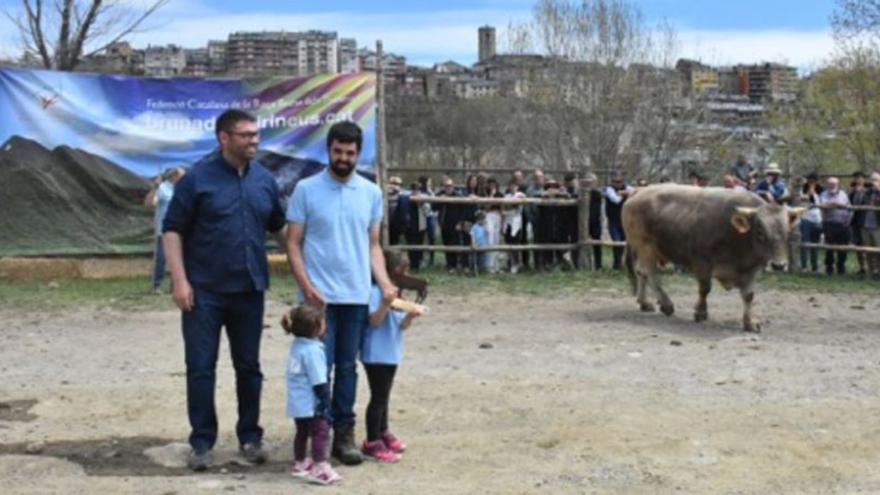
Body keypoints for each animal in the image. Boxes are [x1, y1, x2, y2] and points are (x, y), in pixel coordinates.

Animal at [624, 186, 800, 334]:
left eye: (787, 232)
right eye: (760, 232)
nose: (778, 265)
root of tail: (639, 191)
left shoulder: (753, 268)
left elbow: (749, 295)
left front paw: (750, 322)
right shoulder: (702, 262)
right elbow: (705, 288)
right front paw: (701, 312)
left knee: (641, 273)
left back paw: (644, 302)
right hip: (646, 247)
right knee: (648, 272)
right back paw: (667, 305)